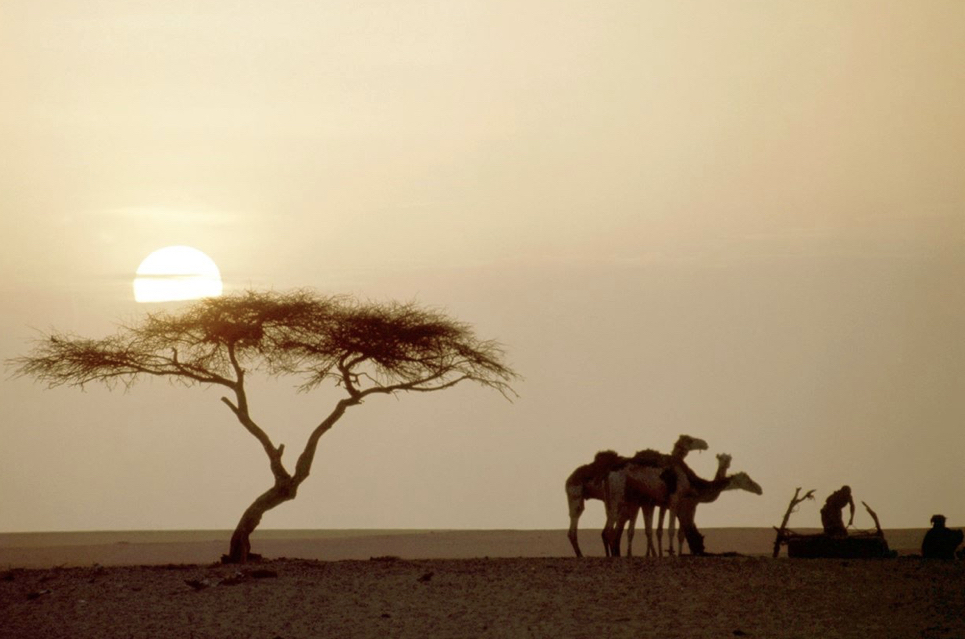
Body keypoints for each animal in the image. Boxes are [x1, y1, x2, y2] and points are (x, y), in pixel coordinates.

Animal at [564, 436, 708, 560]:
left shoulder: (649, 503)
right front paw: (653, 554)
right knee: (581, 520)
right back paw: (585, 555)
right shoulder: (647, 502)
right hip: (577, 495)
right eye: (690, 440)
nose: (705, 444)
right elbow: (644, 529)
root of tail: (569, 478)